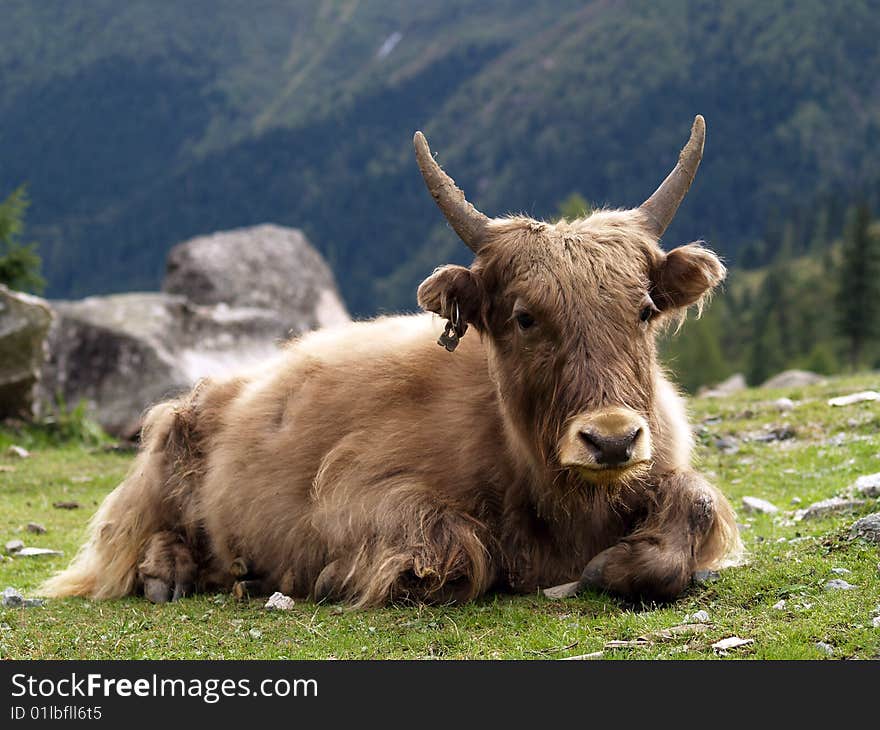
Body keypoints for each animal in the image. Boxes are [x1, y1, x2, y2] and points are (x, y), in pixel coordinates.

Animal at [41, 116, 744, 604]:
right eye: (524, 317)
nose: (612, 439)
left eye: (644, 310)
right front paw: (331, 576)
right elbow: (450, 545)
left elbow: (696, 502)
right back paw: (177, 572)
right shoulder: (352, 492)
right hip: (165, 452)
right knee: (144, 534)